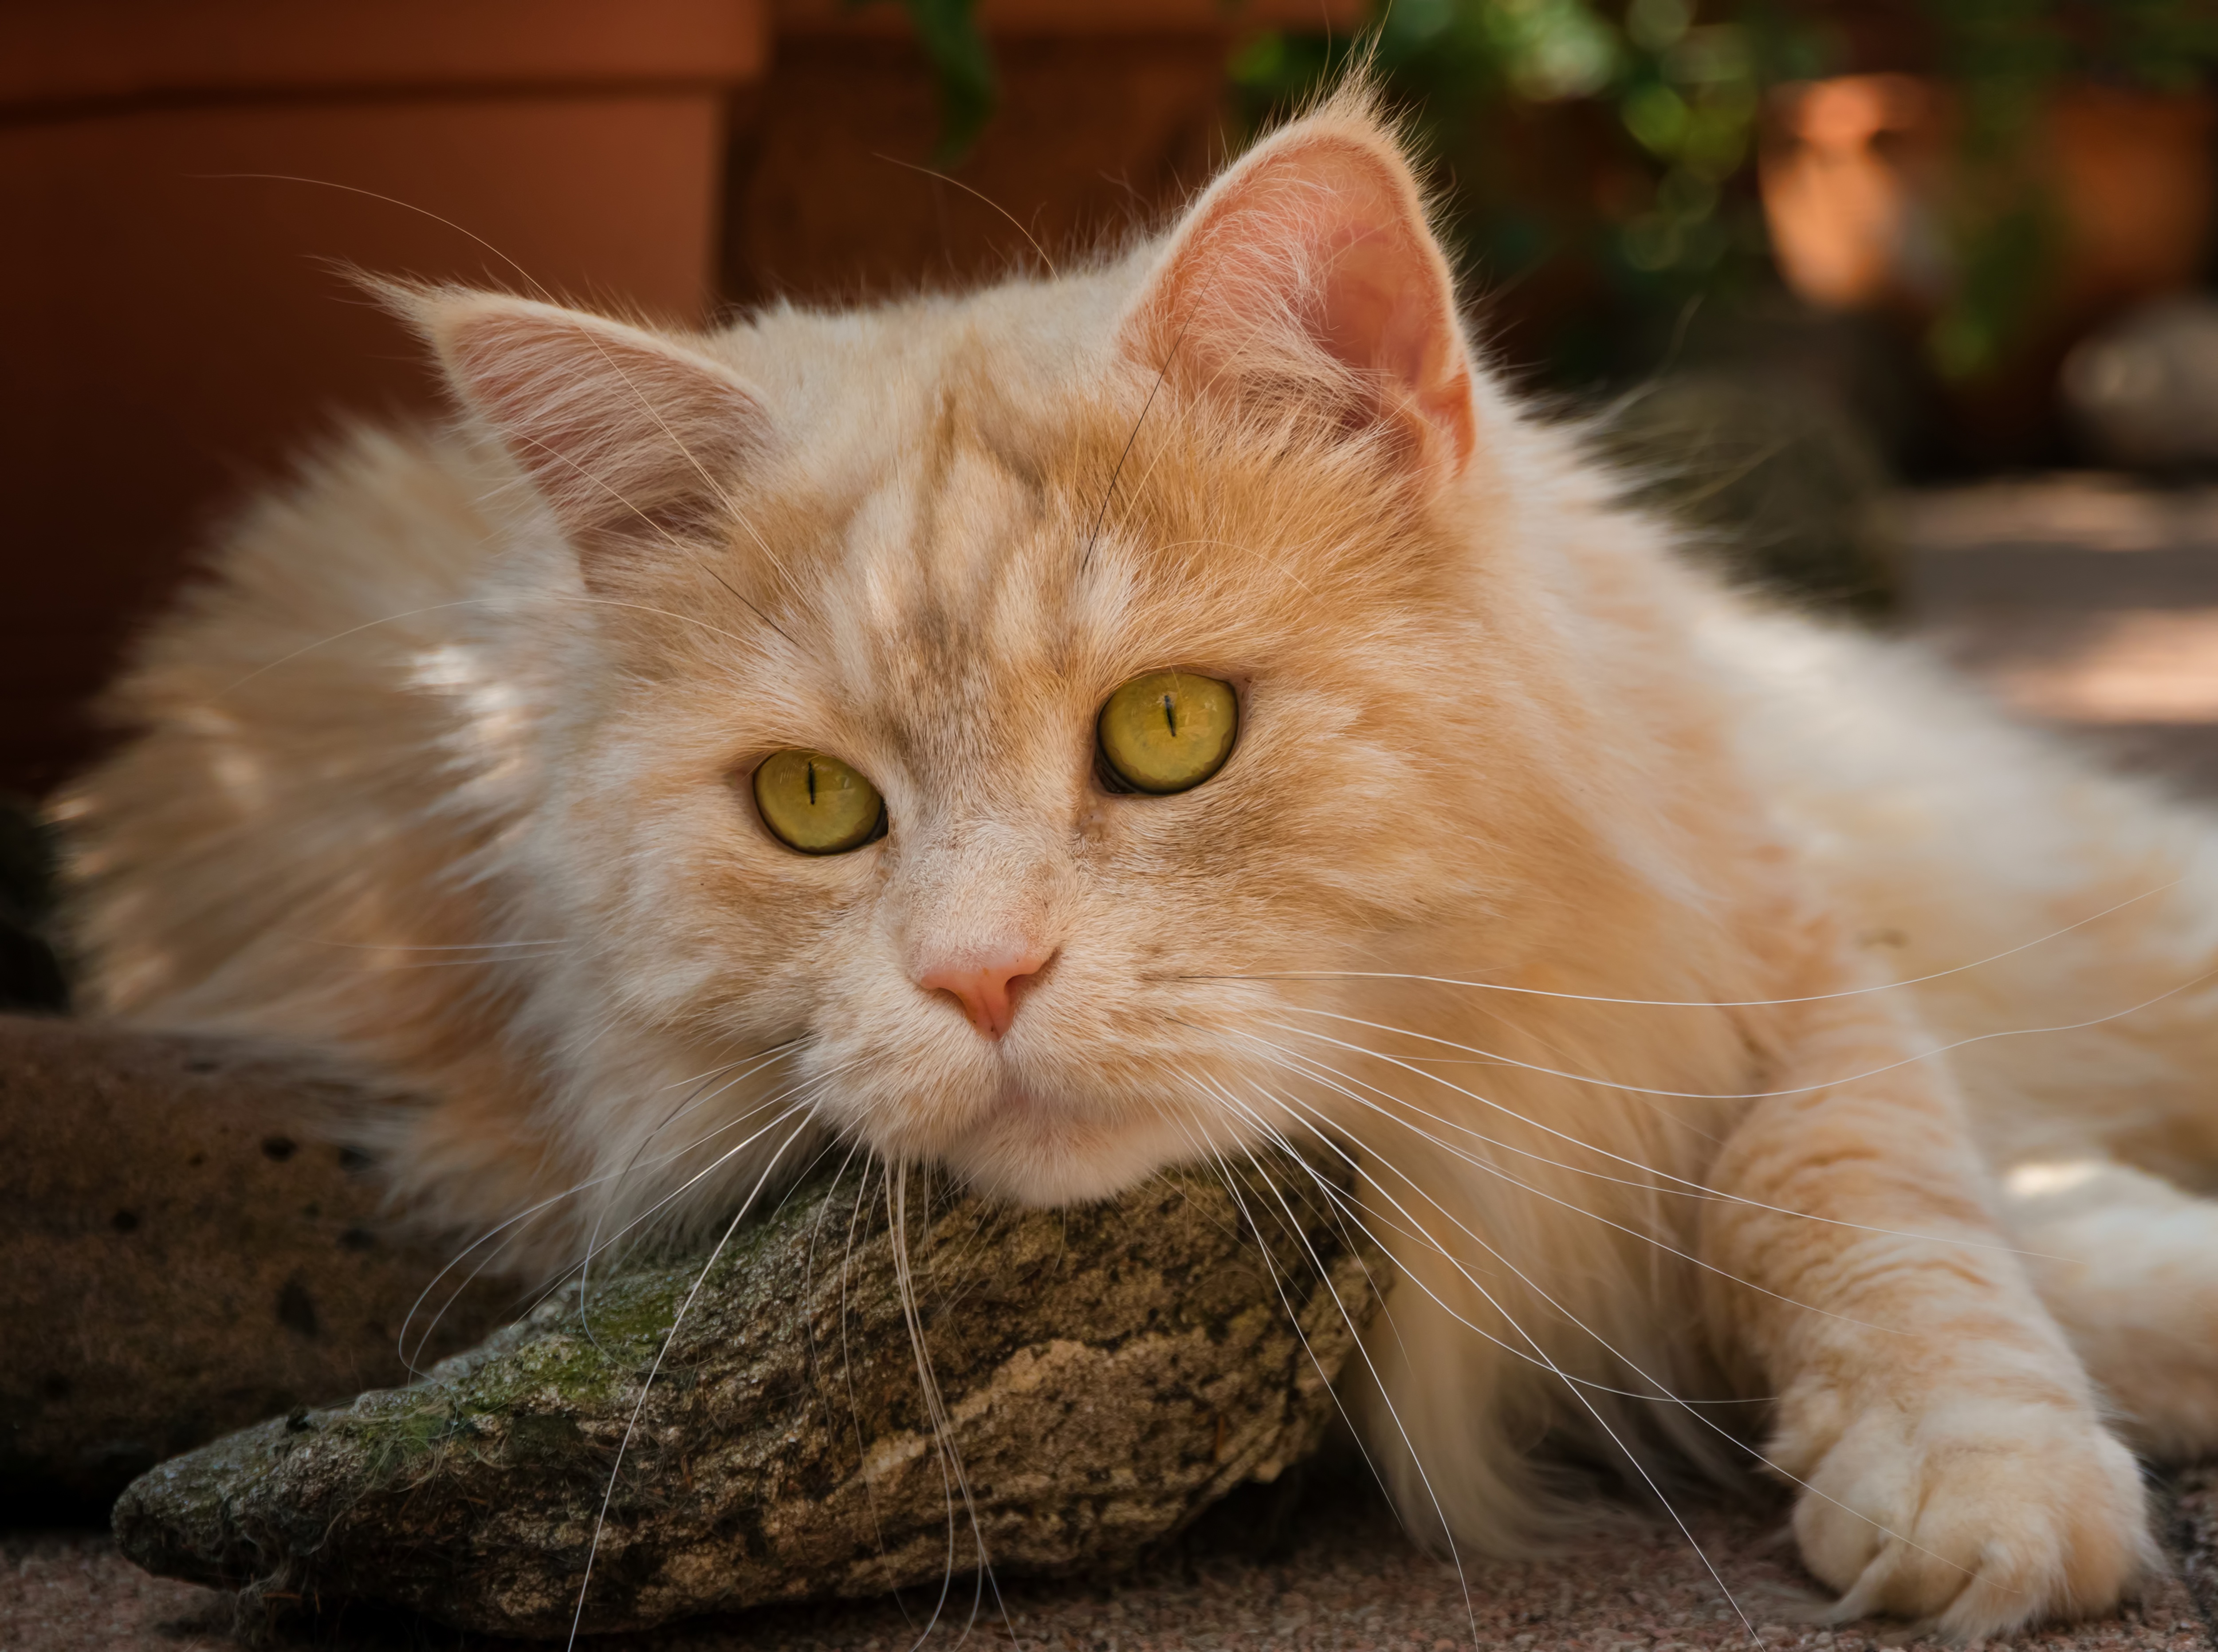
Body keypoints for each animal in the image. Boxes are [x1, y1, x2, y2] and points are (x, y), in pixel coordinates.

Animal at [52, 87, 2218, 1623]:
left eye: (1167, 731)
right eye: (812, 806)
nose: (982, 976)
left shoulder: (1748, 932)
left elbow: (1866, 1188)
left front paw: (1977, 1467)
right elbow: (1920, 1193)